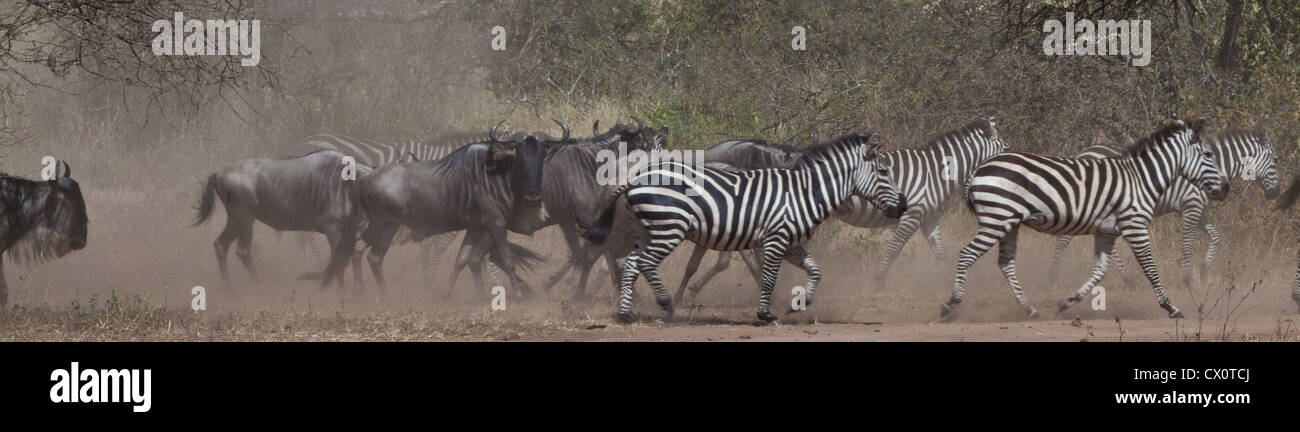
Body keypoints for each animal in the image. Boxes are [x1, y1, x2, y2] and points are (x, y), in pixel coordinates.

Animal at [579, 133, 904, 322]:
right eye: (883, 171)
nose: (902, 206)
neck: (802, 193)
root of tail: (635, 179)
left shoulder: (789, 243)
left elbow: (816, 270)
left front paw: (799, 302)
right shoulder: (774, 239)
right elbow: (769, 277)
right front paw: (765, 314)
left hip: (648, 231)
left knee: (631, 263)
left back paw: (626, 313)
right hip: (668, 230)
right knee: (641, 263)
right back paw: (665, 302)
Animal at [941, 119, 1222, 320]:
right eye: (1208, 155)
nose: (1225, 189)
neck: (1141, 178)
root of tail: (979, 169)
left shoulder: (1107, 231)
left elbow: (1100, 271)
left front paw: (1067, 302)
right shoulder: (1135, 226)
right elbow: (1150, 269)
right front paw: (1171, 306)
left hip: (1009, 221)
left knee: (1005, 262)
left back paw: (1029, 308)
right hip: (997, 219)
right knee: (967, 253)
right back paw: (950, 304)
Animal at [1045, 130, 1279, 286]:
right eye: (1276, 159)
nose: (1275, 194)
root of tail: (1084, 153)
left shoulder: (1198, 209)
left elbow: (1216, 237)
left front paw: (1204, 270)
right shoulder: (1191, 206)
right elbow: (1187, 242)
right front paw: (1186, 279)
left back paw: (1127, 277)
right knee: (1065, 238)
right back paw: (1052, 277)